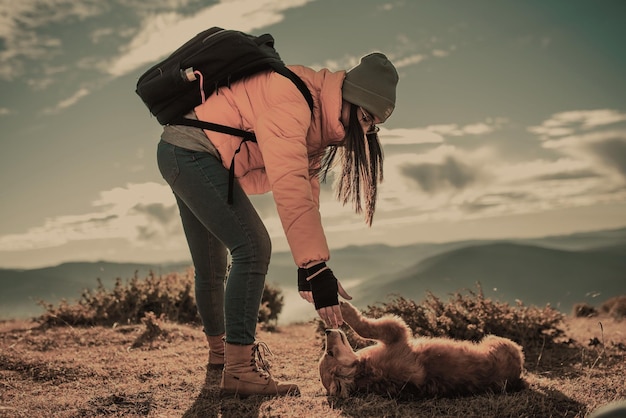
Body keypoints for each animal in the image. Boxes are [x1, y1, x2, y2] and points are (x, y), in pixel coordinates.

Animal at [320, 300, 524, 398]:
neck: (367, 372)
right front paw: (345, 311)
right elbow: (365, 328)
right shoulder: (395, 332)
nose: (327, 330)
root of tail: (518, 375)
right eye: (329, 353)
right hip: (497, 342)